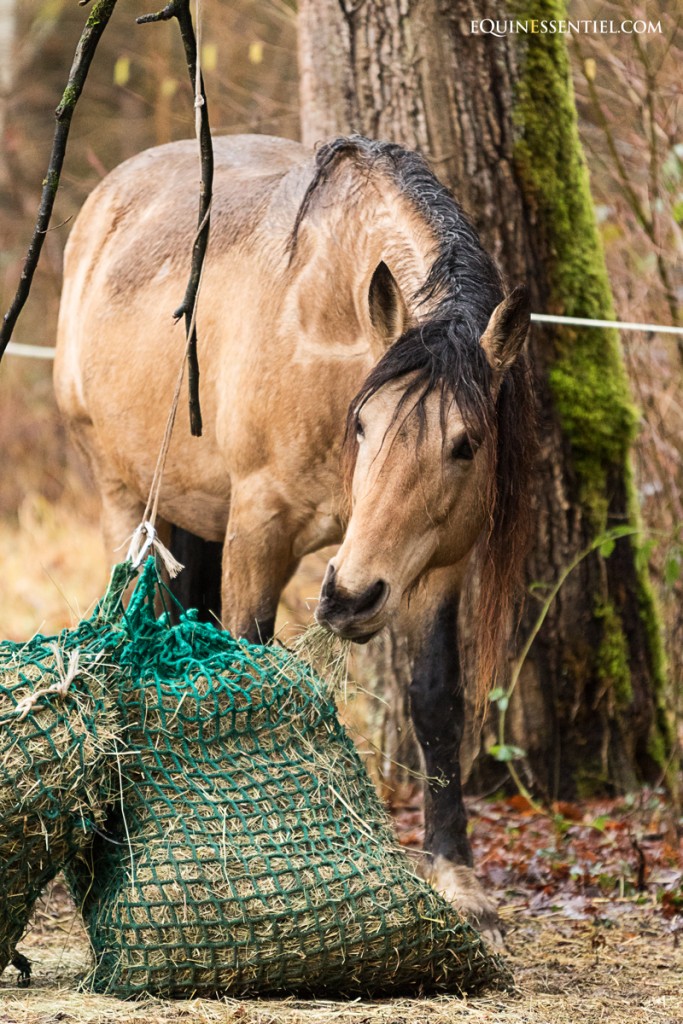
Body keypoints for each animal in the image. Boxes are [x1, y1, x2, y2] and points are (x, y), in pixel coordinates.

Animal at [54, 133, 535, 942]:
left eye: (466, 445)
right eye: (363, 424)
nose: (349, 596)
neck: (326, 332)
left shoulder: (434, 564)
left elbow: (436, 699)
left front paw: (458, 880)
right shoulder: (262, 529)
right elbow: (248, 669)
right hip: (123, 496)